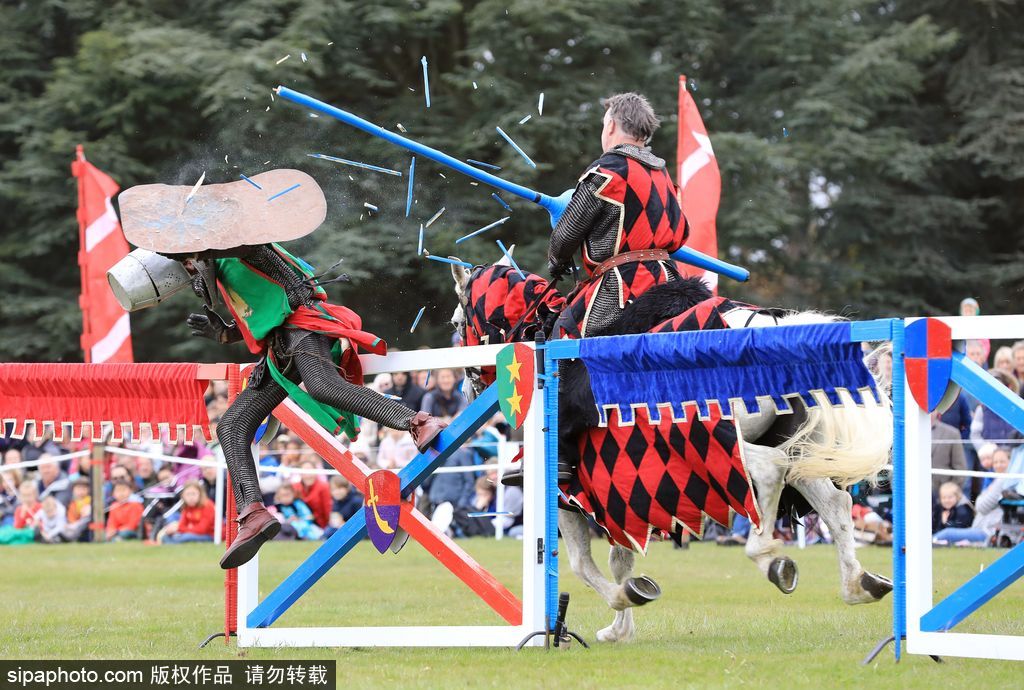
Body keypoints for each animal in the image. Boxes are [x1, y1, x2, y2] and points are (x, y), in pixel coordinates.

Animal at [446, 257, 888, 638]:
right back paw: (858, 584)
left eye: (456, 322)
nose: (470, 388)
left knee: (768, 471)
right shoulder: (615, 495)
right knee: (833, 503)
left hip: (710, 441)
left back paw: (768, 556)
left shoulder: (568, 495)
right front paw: (620, 628)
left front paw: (622, 604)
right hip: (797, 446)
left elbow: (583, 565)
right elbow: (618, 559)